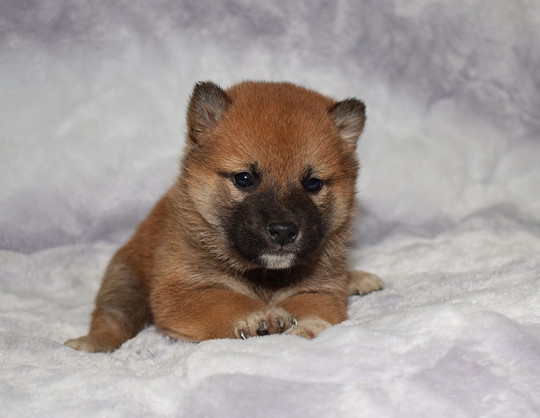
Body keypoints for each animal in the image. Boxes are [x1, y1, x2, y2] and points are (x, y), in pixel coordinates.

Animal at [65, 81, 383, 352]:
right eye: (244, 179)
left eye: (313, 184)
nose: (283, 231)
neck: (265, 275)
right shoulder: (182, 291)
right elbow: (227, 301)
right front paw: (257, 317)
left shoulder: (322, 289)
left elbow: (314, 310)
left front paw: (307, 327)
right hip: (125, 283)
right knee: (112, 318)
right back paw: (92, 342)